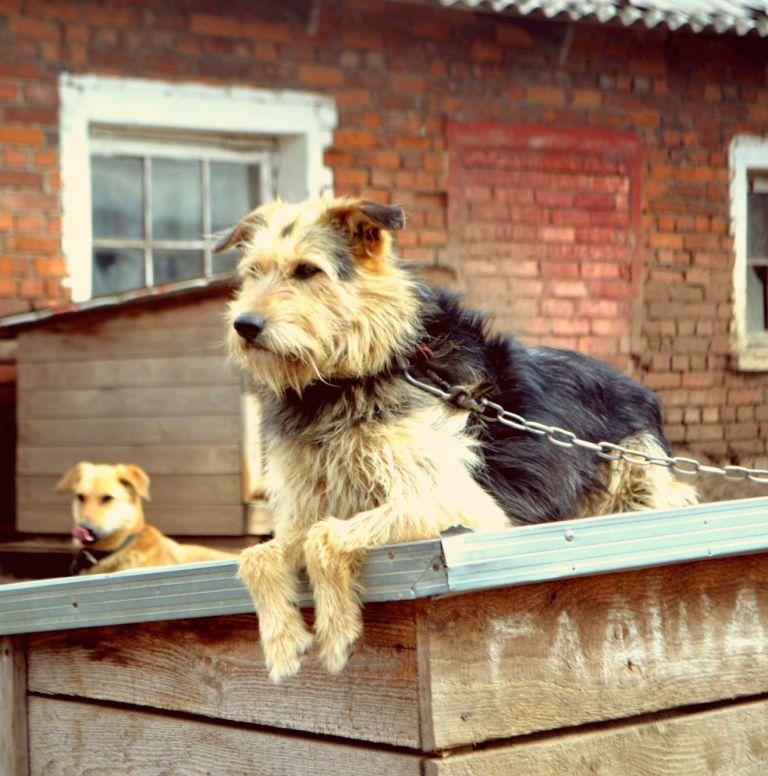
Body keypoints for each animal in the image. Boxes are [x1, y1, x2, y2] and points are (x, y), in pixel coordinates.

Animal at [216, 197, 696, 684]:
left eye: (307, 270)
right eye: (253, 272)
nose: (244, 325)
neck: (351, 375)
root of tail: (643, 392)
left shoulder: (462, 503)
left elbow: (324, 537)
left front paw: (336, 631)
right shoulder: (305, 509)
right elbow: (255, 556)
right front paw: (282, 641)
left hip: (634, 472)